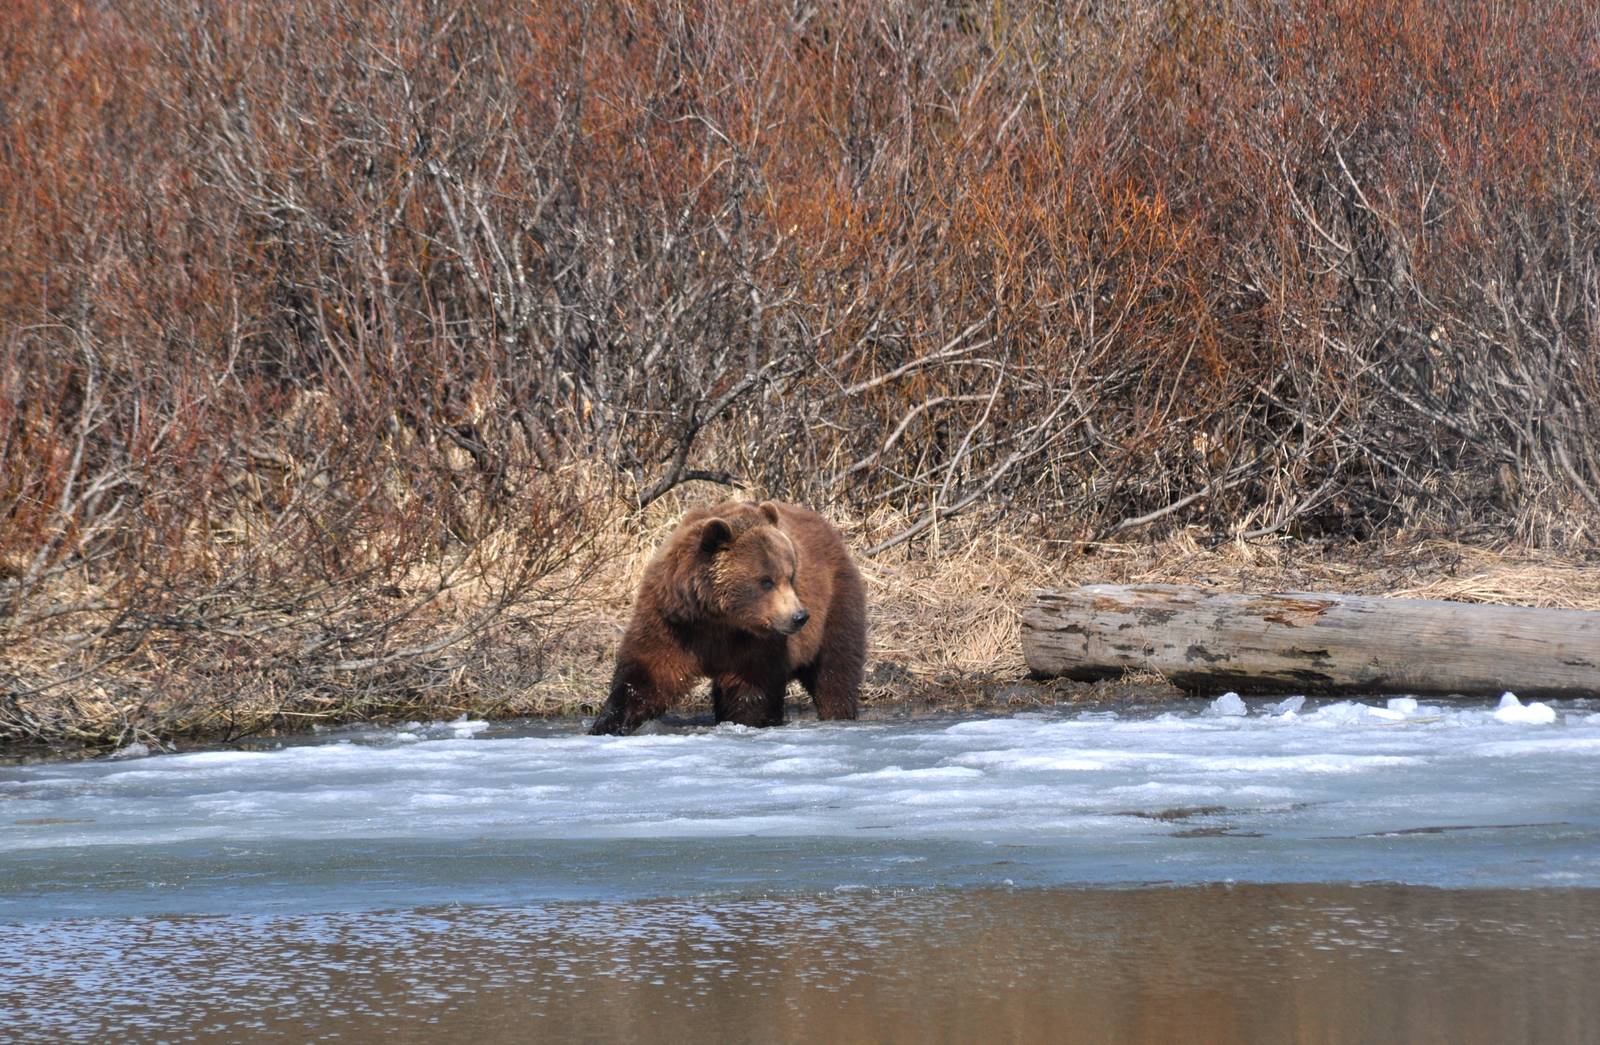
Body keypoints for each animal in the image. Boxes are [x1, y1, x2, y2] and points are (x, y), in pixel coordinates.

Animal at [588, 499, 867, 735]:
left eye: (790, 575)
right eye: (766, 581)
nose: (799, 616)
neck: (718, 618)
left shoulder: (755, 643)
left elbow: (751, 689)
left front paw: (746, 720)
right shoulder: (672, 623)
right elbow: (647, 674)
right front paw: (607, 724)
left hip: (836, 602)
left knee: (835, 669)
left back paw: (838, 712)